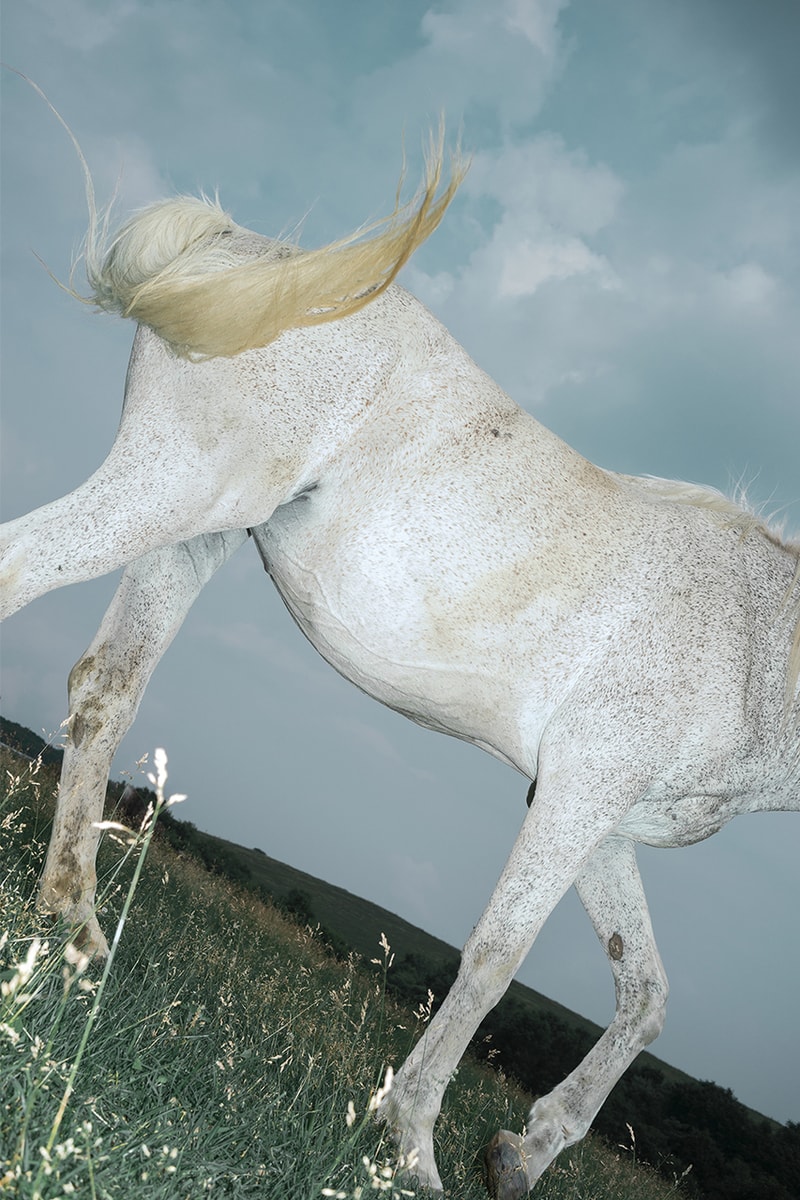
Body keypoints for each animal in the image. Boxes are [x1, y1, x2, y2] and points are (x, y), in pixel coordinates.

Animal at [1, 140, 798, 1199]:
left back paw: (75, 926)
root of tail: (239, 249)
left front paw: (520, 1153)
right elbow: (498, 958)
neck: (755, 643)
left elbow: (646, 998)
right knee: (19, 575)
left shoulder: (597, 813)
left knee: (105, 694)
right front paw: (411, 1140)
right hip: (161, 494)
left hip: (190, 536)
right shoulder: (581, 793)